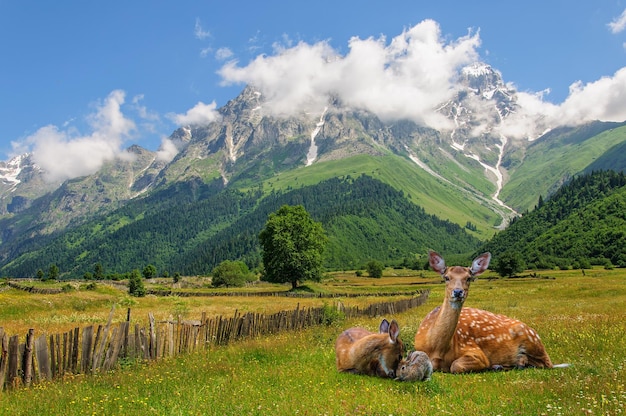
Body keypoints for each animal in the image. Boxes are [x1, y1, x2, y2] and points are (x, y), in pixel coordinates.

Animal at [412, 250, 560, 374]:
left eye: (469, 278)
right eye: (446, 277)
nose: (458, 292)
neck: (435, 348)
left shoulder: (475, 352)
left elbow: (456, 365)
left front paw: (488, 366)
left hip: (533, 341)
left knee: (546, 363)